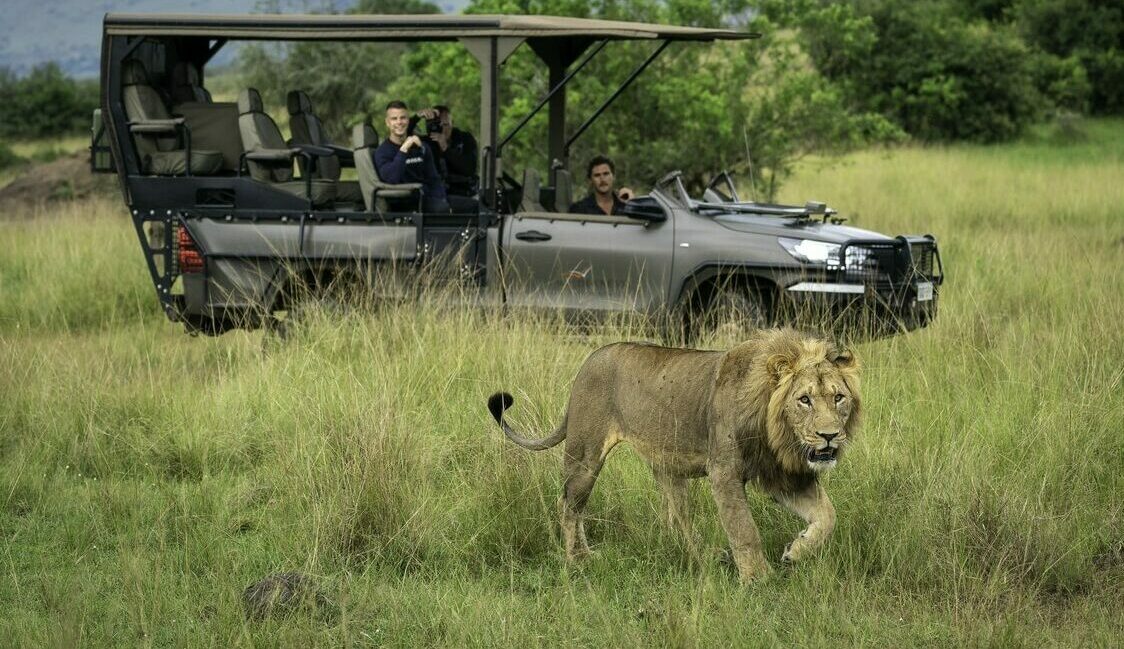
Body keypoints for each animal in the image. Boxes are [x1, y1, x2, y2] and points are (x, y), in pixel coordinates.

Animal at [485, 326, 858, 580]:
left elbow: (828, 516)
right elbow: (744, 529)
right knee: (568, 505)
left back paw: (705, 557)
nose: (829, 437)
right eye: (804, 400)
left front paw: (796, 551)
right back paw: (579, 559)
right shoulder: (724, 472)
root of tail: (589, 359)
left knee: (679, 519)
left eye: (838, 397)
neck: (776, 432)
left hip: (667, 469)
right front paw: (758, 579)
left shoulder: (782, 475)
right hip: (584, 455)